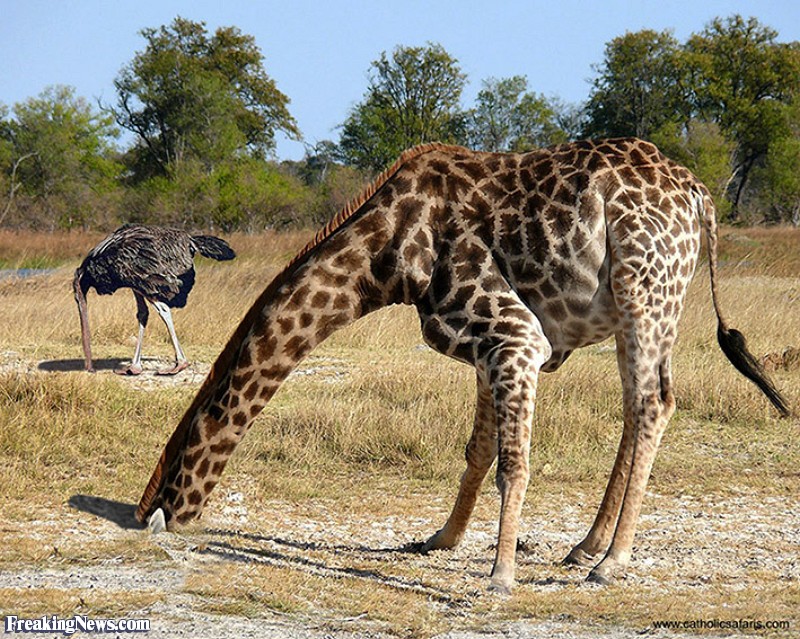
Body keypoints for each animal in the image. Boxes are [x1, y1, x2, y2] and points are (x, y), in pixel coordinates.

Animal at [133, 138, 788, 592]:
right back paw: (585, 548)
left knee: (651, 404)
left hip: (643, 289)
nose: (151, 515)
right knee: (643, 406)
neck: (385, 256)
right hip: (655, 305)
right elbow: (478, 451)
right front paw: (440, 540)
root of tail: (700, 196)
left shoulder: (516, 335)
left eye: (177, 464)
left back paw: (610, 563)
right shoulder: (482, 345)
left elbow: (512, 463)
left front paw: (500, 576)